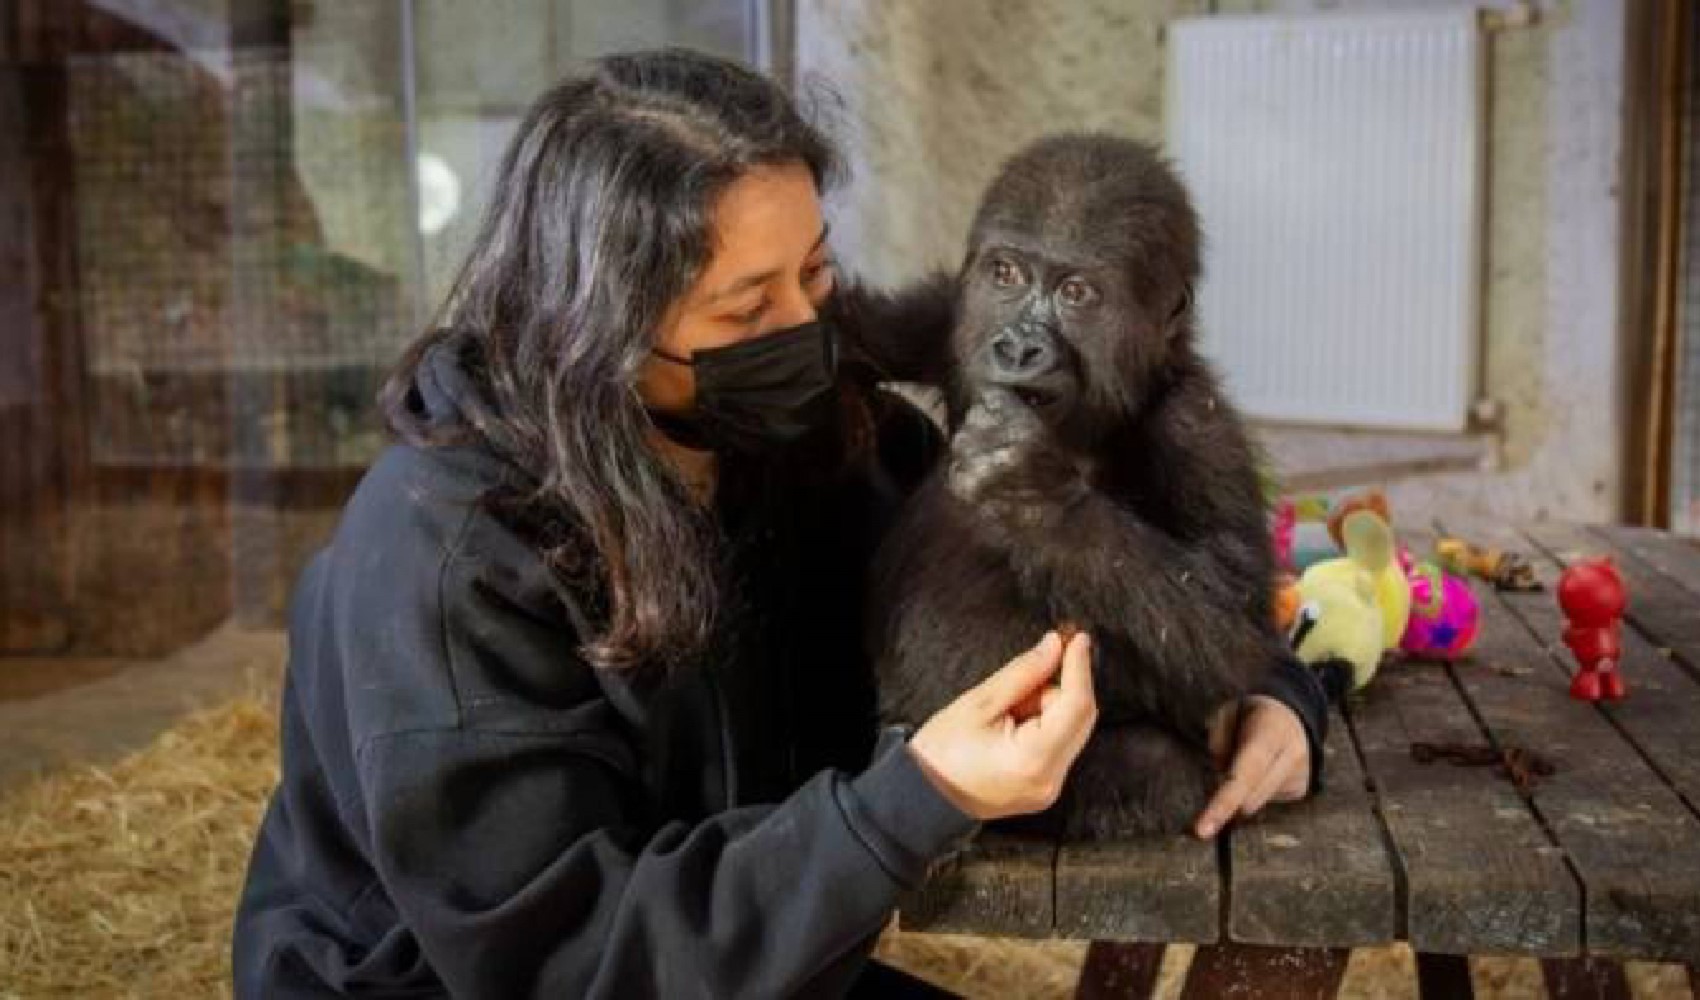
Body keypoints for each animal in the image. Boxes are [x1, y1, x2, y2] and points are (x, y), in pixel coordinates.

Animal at [877, 130, 1285, 836]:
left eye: (1076, 293)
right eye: (1006, 275)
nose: (1017, 349)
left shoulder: (1200, 428)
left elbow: (1238, 632)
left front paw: (1033, 493)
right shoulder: (948, 325)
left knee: (1157, 766)